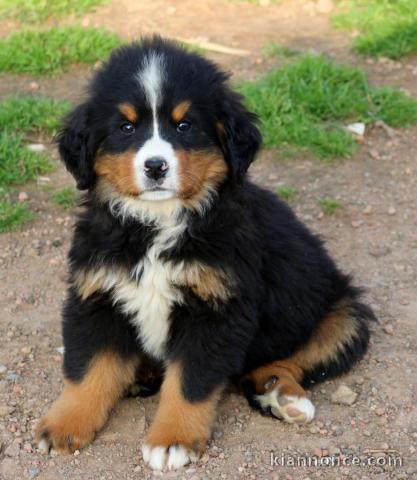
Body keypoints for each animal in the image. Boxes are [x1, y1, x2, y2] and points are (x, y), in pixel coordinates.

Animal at [35, 36, 374, 468]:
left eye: (185, 125)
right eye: (126, 127)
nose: (156, 166)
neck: (157, 225)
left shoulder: (217, 310)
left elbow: (190, 384)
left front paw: (172, 439)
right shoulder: (97, 295)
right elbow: (87, 371)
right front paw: (64, 425)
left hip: (344, 313)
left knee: (290, 358)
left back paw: (281, 395)